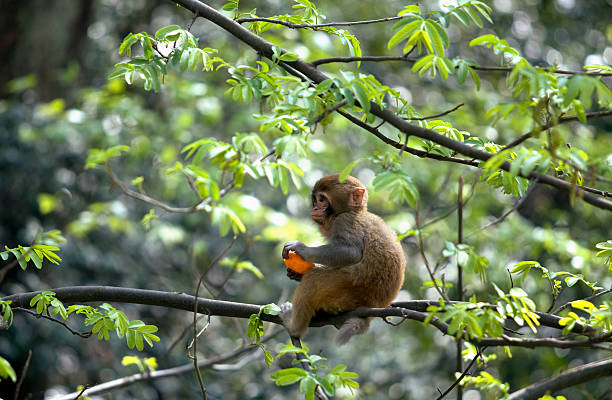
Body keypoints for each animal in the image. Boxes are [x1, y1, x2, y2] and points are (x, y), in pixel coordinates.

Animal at [278, 173, 404, 346]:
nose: (315, 208)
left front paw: (302, 249)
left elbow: (350, 252)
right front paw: (296, 274)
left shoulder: (344, 221)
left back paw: (294, 327)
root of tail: (371, 308)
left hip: (347, 290)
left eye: (322, 199)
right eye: (315, 200)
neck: (354, 211)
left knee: (314, 279)